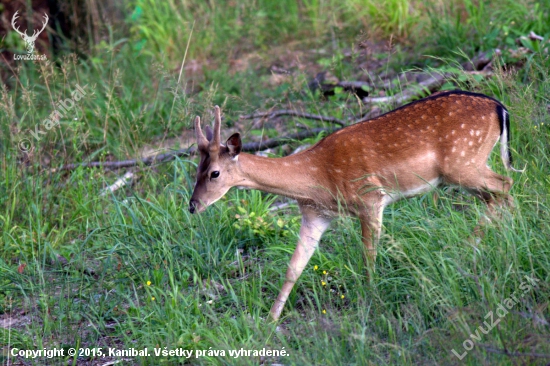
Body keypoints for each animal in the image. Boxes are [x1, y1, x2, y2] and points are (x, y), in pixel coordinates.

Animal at [190, 91, 528, 320]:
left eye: (214, 172)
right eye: (196, 169)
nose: (193, 206)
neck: (316, 177)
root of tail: (500, 108)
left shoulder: (370, 198)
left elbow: (368, 255)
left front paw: (372, 298)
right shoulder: (315, 216)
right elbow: (294, 267)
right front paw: (270, 320)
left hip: (463, 162)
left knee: (505, 184)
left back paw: (482, 246)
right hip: (466, 170)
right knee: (500, 194)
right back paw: (493, 243)